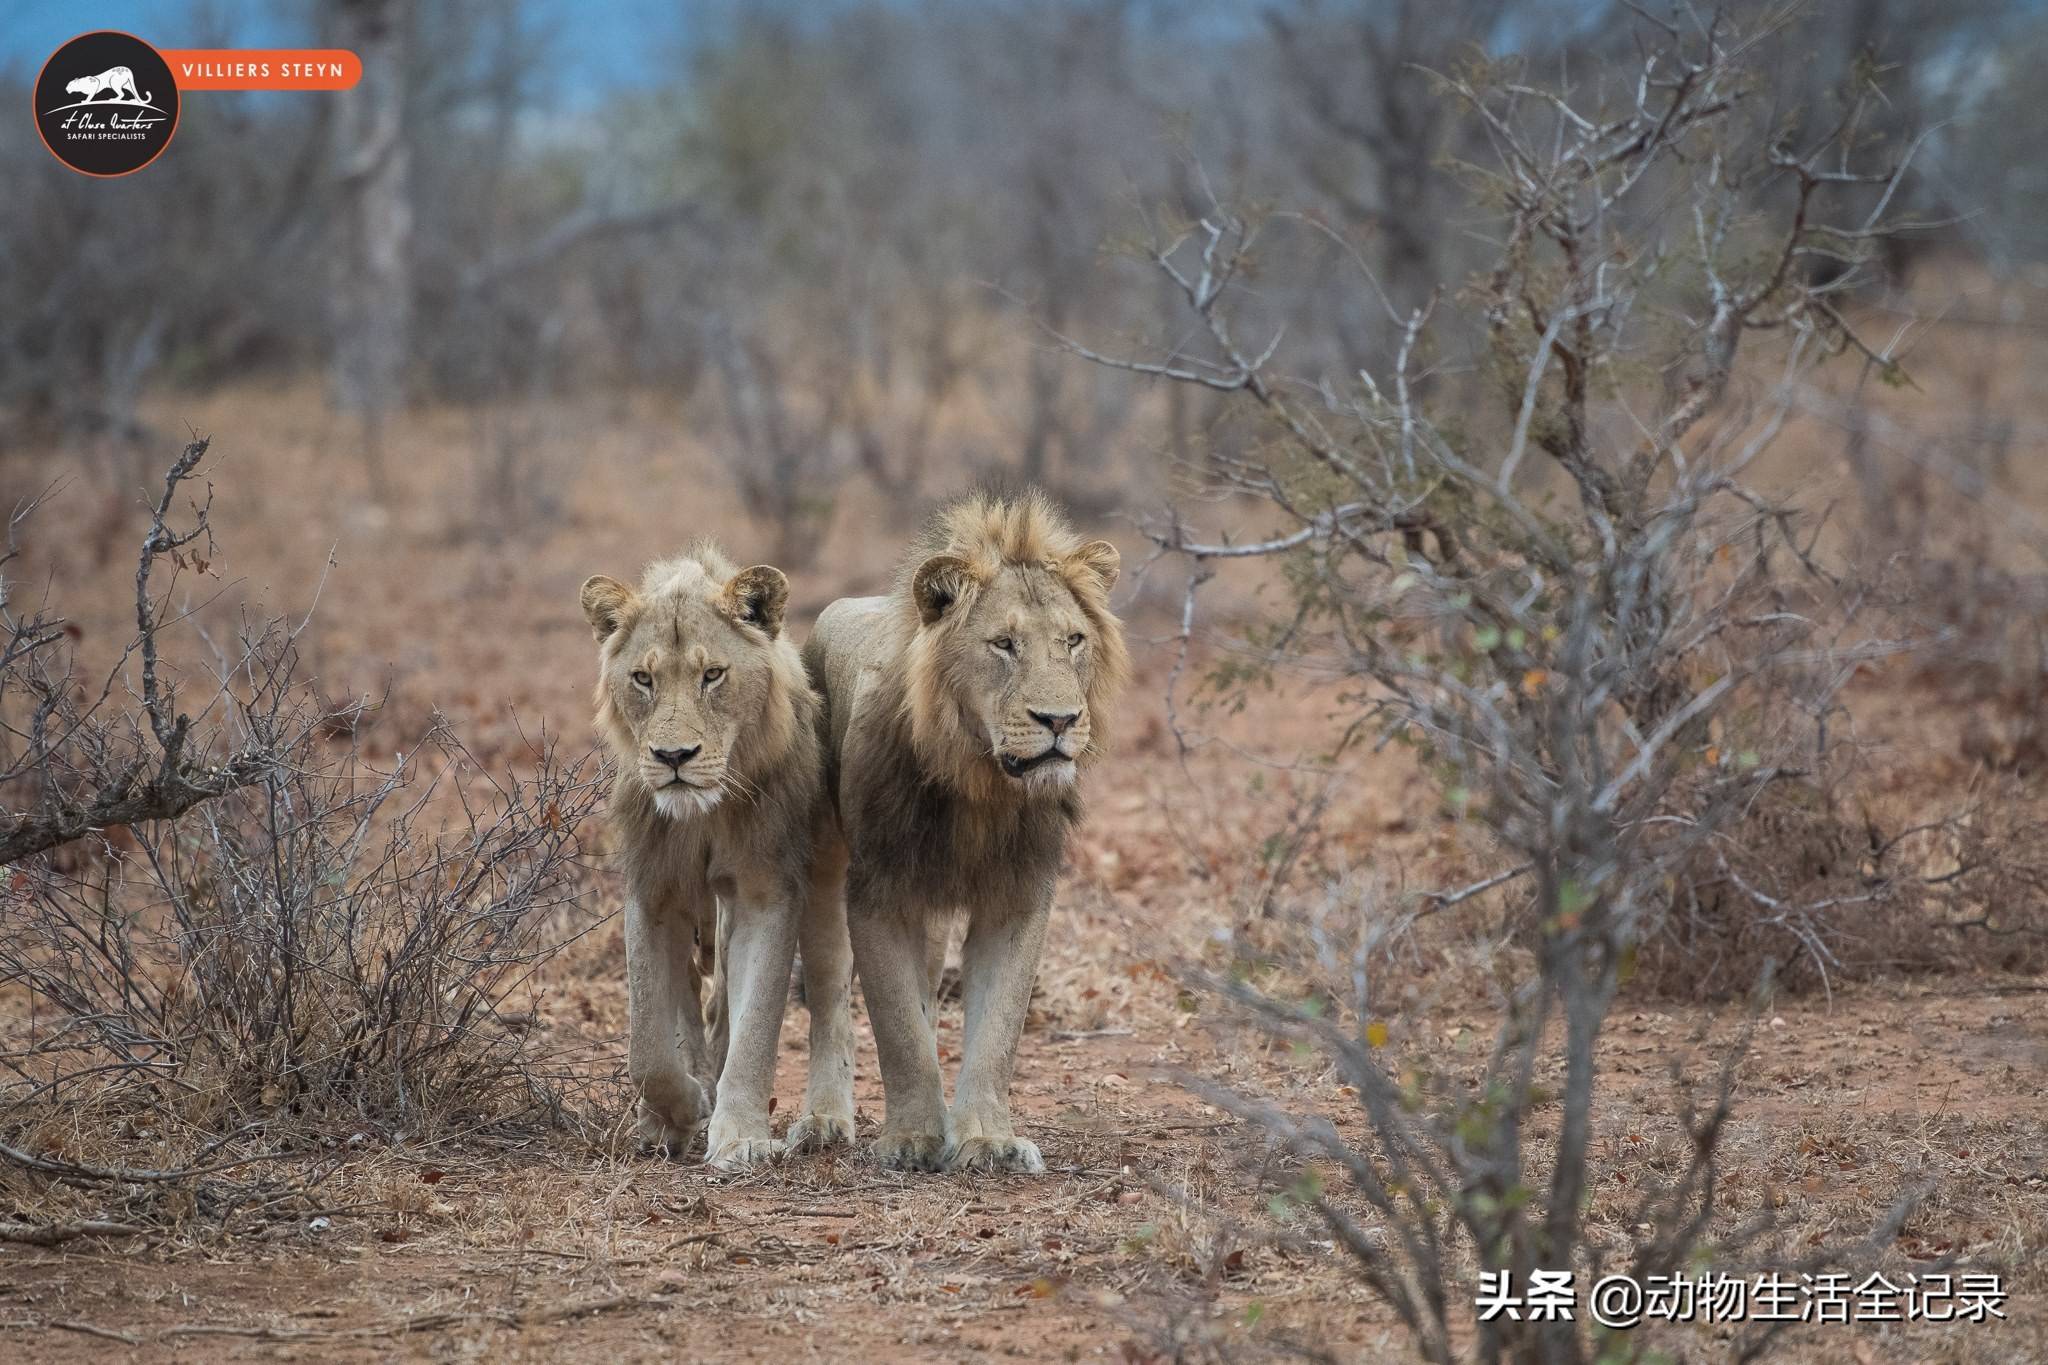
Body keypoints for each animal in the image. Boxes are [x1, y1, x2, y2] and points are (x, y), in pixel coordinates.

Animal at [581, 544, 819, 1178]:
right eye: (643, 678)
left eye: (713, 675)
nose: (673, 756)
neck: (703, 815)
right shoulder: (651, 892)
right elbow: (647, 1045)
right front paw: (683, 1108)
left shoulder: (768, 891)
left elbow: (756, 1026)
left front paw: (739, 1136)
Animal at [794, 491, 1130, 1178]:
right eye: (1003, 644)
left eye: (1074, 640)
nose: (1060, 720)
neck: (981, 784)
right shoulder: (879, 893)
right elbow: (897, 1030)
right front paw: (912, 1138)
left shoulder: (1018, 898)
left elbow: (997, 1031)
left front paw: (985, 1139)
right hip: (824, 868)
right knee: (831, 997)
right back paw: (823, 1120)